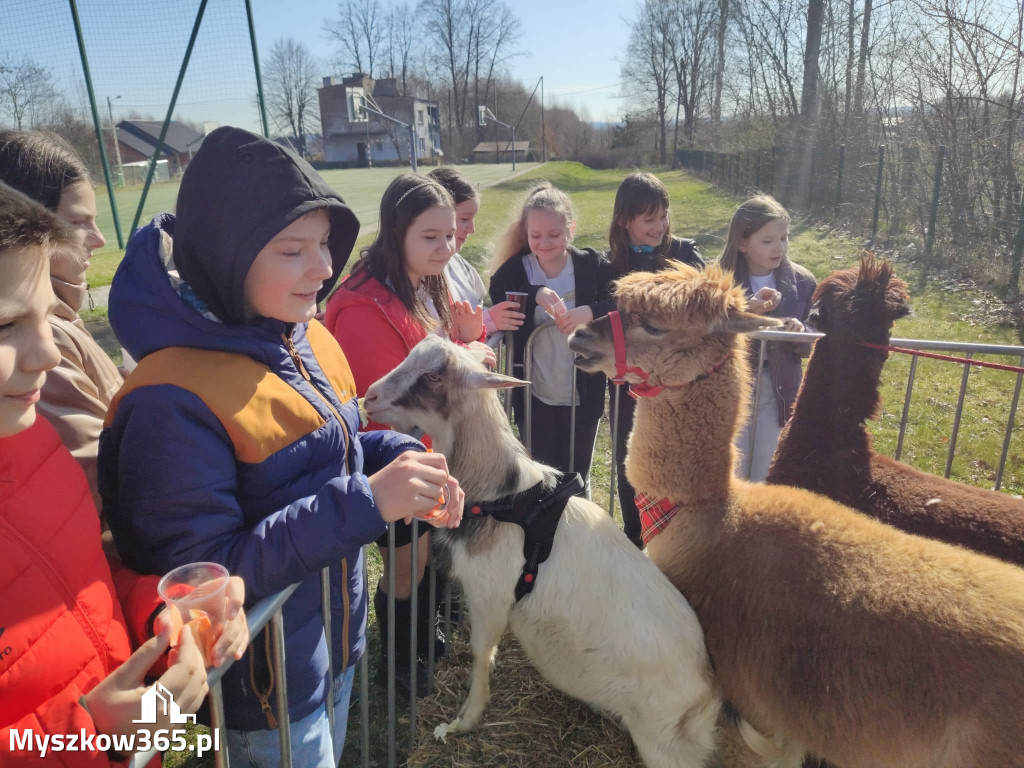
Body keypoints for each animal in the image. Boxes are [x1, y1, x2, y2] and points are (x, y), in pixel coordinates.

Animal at [364, 339, 724, 768]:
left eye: (434, 375)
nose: (369, 397)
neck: (503, 495)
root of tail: (708, 700)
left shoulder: (490, 596)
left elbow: (481, 652)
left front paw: (465, 719)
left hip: (664, 745)